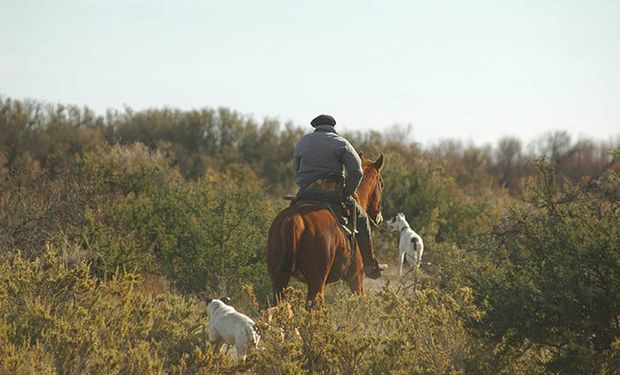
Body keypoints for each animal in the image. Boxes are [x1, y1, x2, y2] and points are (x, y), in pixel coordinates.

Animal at [268, 154, 386, 304]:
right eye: (381, 183)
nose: (379, 217)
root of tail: (295, 219)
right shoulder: (356, 278)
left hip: (278, 280)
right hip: (316, 281)